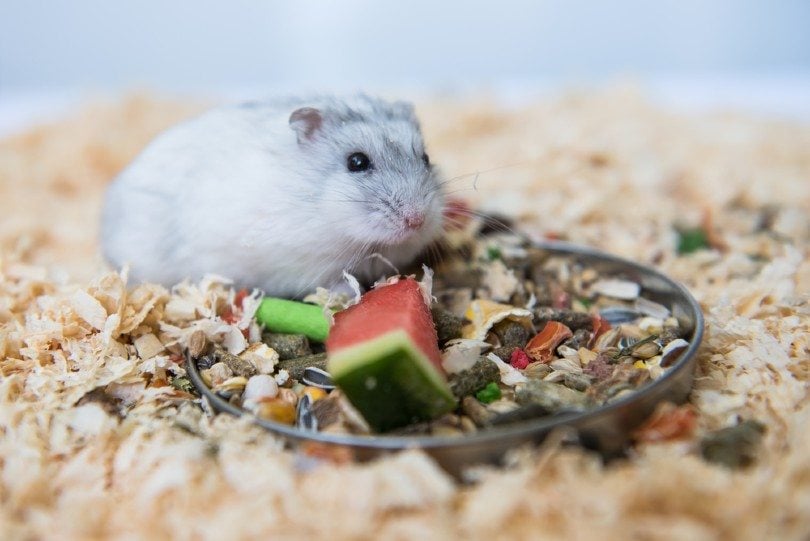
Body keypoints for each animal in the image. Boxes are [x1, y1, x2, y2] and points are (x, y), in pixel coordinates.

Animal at [101, 95, 445, 298]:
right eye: (356, 162)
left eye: (426, 158)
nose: (417, 221)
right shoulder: (298, 265)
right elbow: (330, 281)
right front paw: (349, 295)